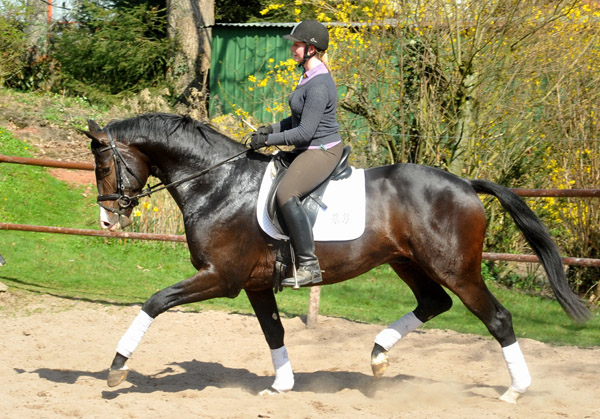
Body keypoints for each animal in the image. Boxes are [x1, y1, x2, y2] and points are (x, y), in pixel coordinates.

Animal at [84, 113, 592, 406]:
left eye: (104, 165)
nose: (108, 220)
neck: (219, 184)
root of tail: (465, 184)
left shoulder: (222, 277)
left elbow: (155, 302)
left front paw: (116, 369)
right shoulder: (253, 283)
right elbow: (273, 332)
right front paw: (282, 386)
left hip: (456, 268)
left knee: (497, 318)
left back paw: (515, 390)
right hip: (407, 262)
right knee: (433, 304)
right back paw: (378, 357)